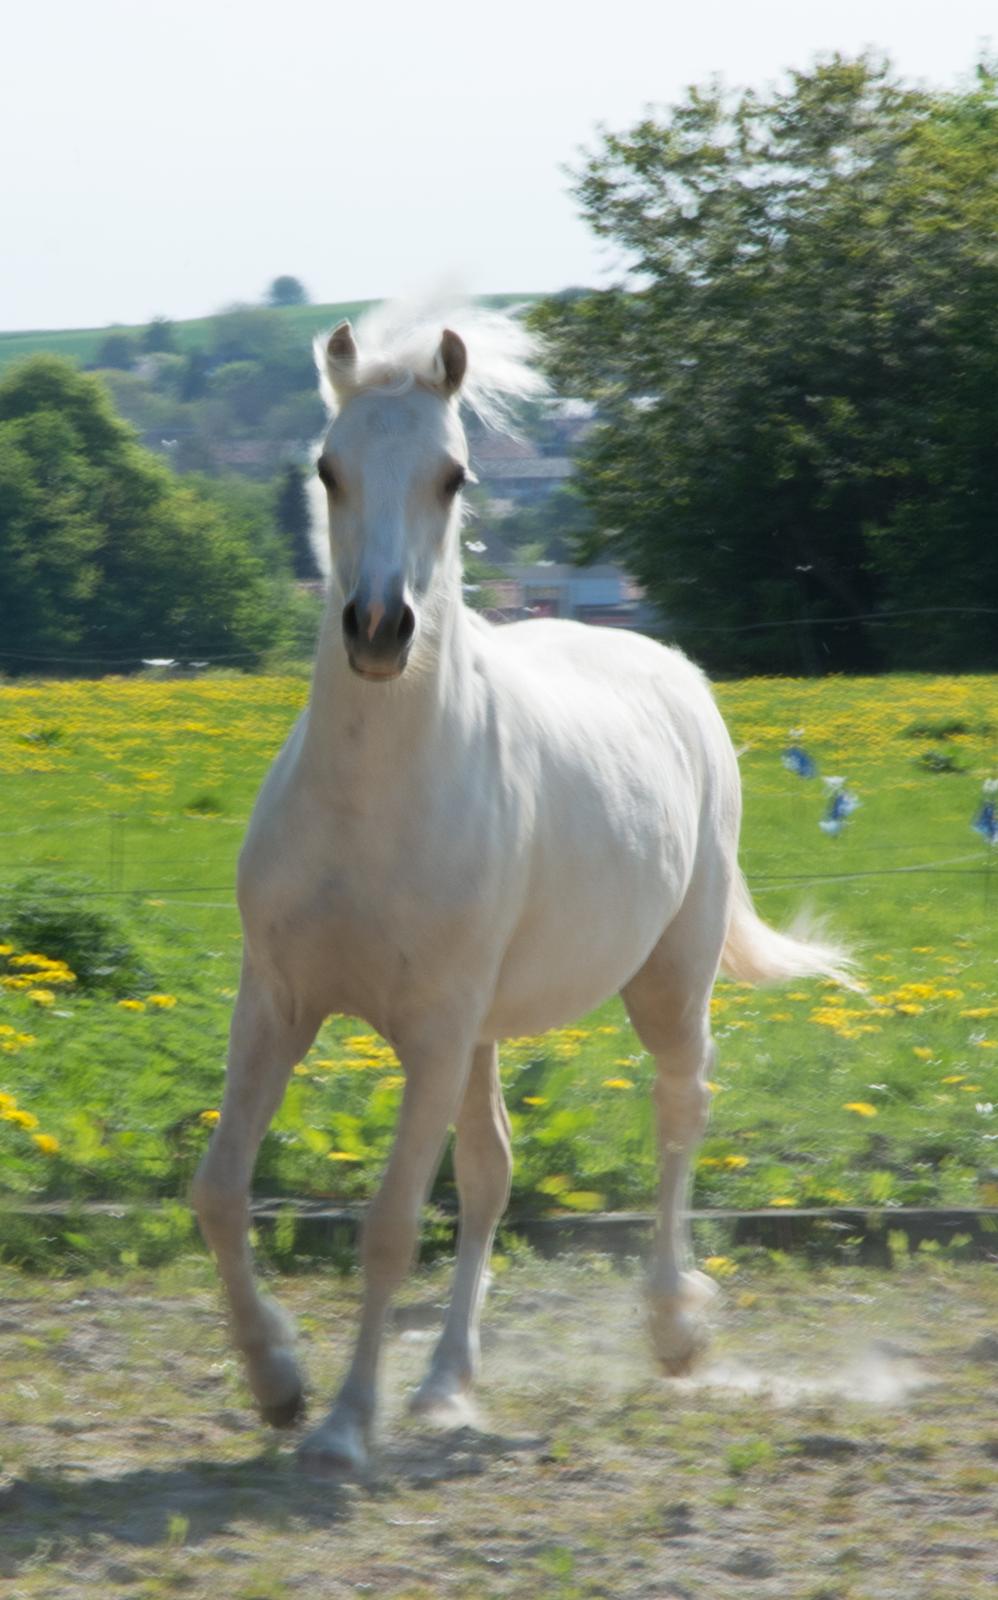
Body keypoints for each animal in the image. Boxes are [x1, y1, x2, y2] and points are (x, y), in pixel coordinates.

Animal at [192, 300, 851, 1476]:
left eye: (453, 475)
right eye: (327, 468)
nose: (378, 629)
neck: (371, 806)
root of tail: (673, 670)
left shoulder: (433, 1032)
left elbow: (391, 1222)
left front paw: (344, 1425)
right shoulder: (276, 1004)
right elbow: (223, 1191)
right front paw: (277, 1381)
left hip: (667, 982)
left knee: (679, 1109)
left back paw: (672, 1327)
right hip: (486, 1030)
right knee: (493, 1167)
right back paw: (446, 1382)